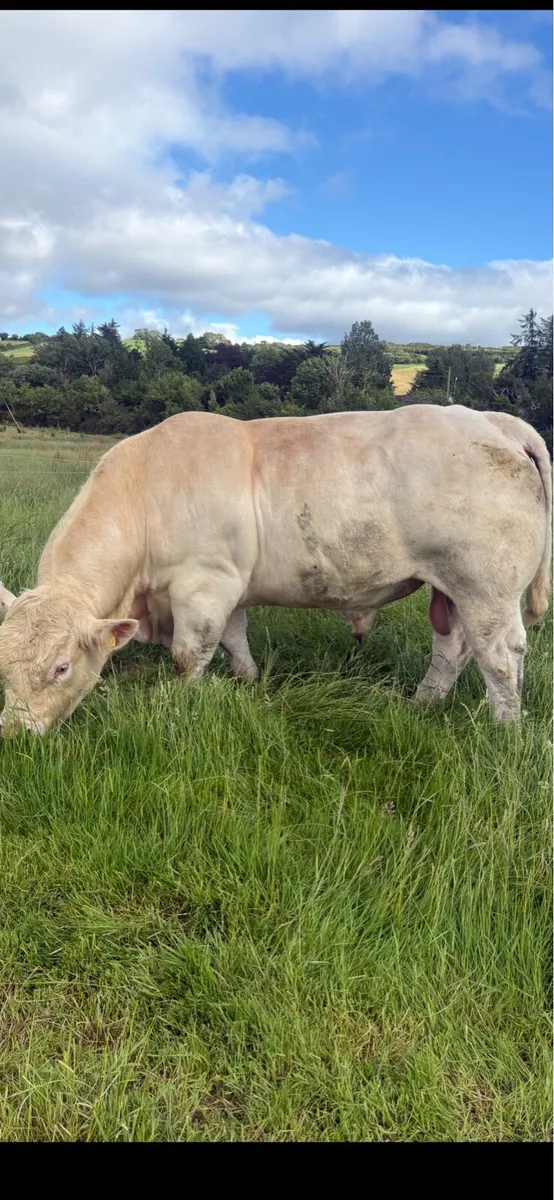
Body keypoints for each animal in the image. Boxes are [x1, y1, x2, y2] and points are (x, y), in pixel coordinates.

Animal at [0, 404, 550, 734]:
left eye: (61, 667)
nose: (16, 732)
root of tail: (492, 420)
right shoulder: (230, 587)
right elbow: (234, 640)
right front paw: (249, 680)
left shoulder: (204, 584)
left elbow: (189, 654)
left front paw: (175, 704)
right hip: (450, 589)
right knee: (452, 649)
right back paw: (423, 705)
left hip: (485, 588)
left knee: (500, 656)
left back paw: (505, 728)